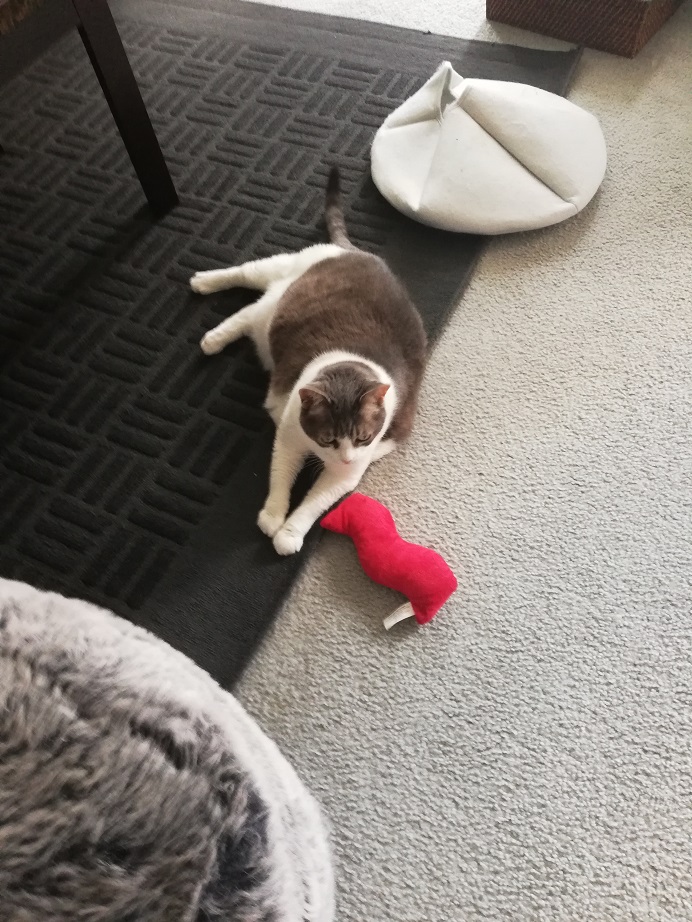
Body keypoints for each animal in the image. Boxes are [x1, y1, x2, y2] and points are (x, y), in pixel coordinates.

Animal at [191, 165, 428, 552]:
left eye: (363, 438)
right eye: (329, 439)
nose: (345, 455)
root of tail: (357, 251)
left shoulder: (349, 472)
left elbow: (316, 502)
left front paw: (290, 533)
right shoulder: (288, 437)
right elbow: (280, 475)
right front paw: (273, 516)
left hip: (271, 307)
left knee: (249, 314)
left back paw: (215, 335)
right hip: (280, 271)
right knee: (245, 277)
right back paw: (204, 288)